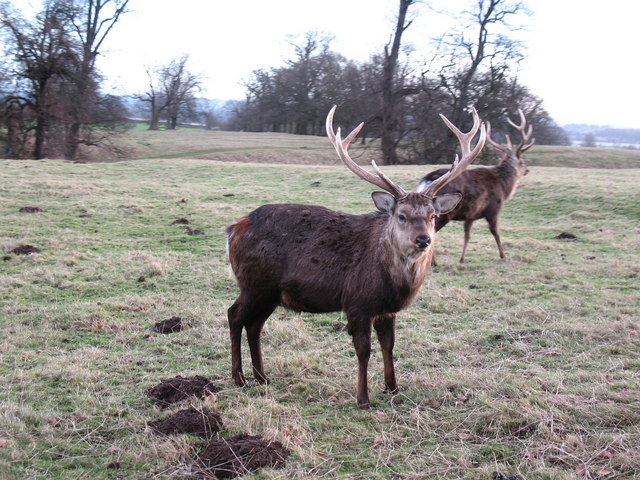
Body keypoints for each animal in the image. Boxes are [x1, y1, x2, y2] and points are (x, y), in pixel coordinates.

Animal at [225, 106, 486, 408]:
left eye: (433, 216)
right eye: (401, 215)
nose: (423, 240)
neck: (394, 283)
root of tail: (233, 229)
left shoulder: (387, 309)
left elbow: (389, 345)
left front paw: (392, 387)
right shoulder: (357, 302)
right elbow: (363, 350)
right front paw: (363, 399)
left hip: (270, 293)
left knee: (254, 325)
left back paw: (262, 377)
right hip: (255, 283)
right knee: (235, 316)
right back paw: (239, 378)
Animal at [417, 109, 534, 264]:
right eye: (521, 162)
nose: (527, 170)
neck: (503, 187)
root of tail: (426, 181)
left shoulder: (470, 215)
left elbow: (467, 235)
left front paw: (462, 258)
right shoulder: (493, 209)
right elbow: (495, 232)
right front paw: (503, 255)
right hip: (443, 214)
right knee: (431, 233)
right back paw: (433, 262)